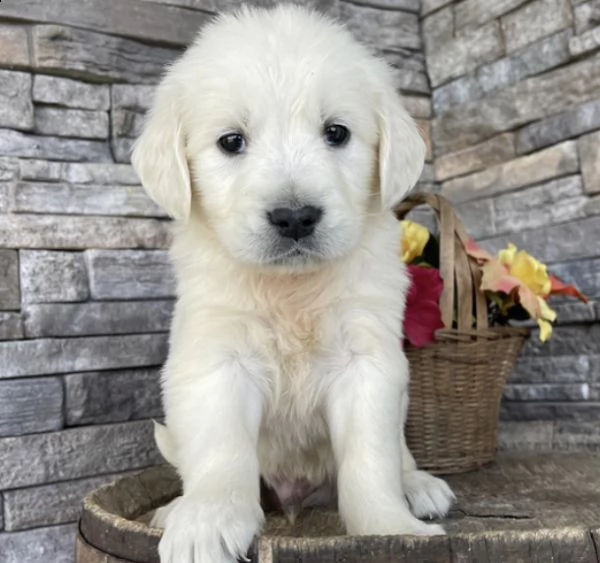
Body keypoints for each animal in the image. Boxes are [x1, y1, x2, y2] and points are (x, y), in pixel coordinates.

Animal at [132, 5, 454, 563]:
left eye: (337, 133)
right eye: (232, 141)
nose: (296, 217)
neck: (292, 290)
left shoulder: (367, 361)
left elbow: (371, 457)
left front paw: (391, 529)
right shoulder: (218, 359)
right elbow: (222, 449)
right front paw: (206, 522)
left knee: (399, 454)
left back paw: (419, 487)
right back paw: (177, 509)